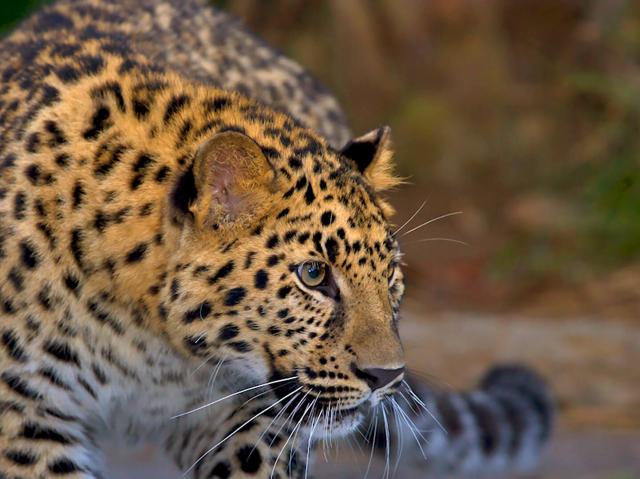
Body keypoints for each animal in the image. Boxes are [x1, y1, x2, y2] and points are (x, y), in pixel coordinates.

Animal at [0, 0, 553, 478]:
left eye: (391, 274)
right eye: (313, 274)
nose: (388, 378)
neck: (152, 342)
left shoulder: (253, 412)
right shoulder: (25, 414)